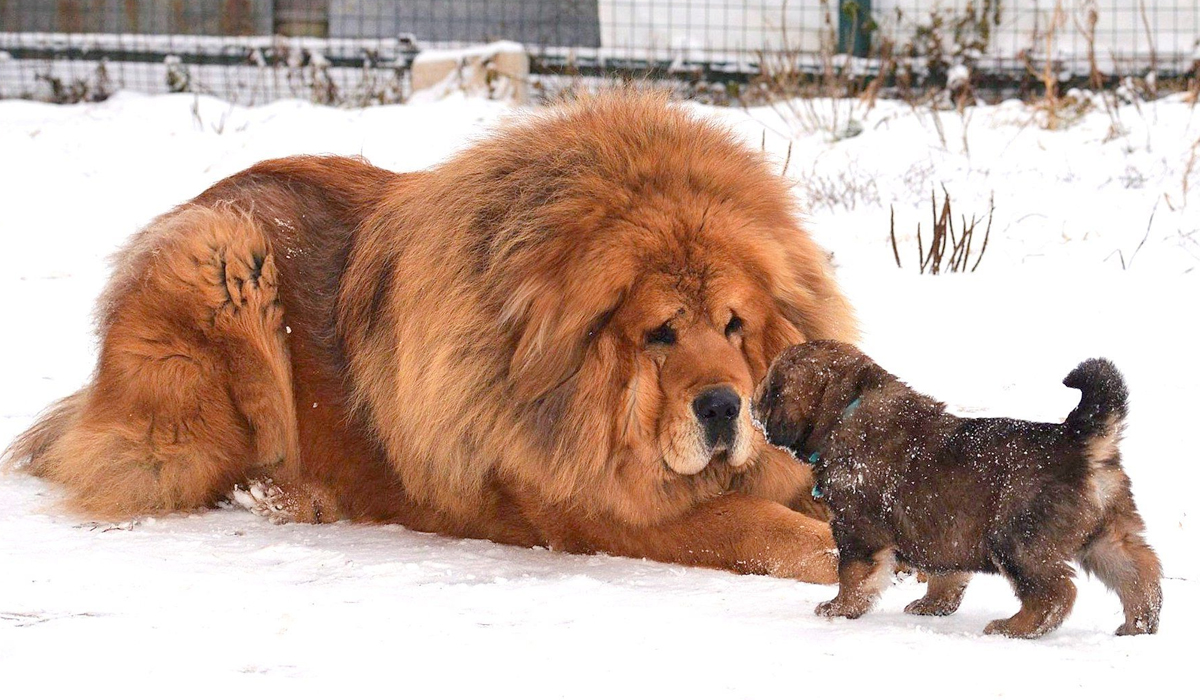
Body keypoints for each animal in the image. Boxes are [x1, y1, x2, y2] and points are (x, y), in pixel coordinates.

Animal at [7, 90, 854, 583]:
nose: (723, 407)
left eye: (735, 325)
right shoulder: (599, 510)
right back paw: (289, 493)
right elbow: (755, 524)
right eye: (659, 333)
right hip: (221, 263)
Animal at [758, 340, 1161, 638]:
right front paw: (933, 606)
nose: (751, 405)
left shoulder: (856, 529)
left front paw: (839, 609)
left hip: (1017, 539)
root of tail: (1079, 439)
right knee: (1139, 572)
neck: (846, 410)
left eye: (769, 390)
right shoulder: (941, 533)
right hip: (1107, 534)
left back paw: (1014, 627)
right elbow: (945, 575)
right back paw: (1139, 625)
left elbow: (852, 574)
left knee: (1055, 593)